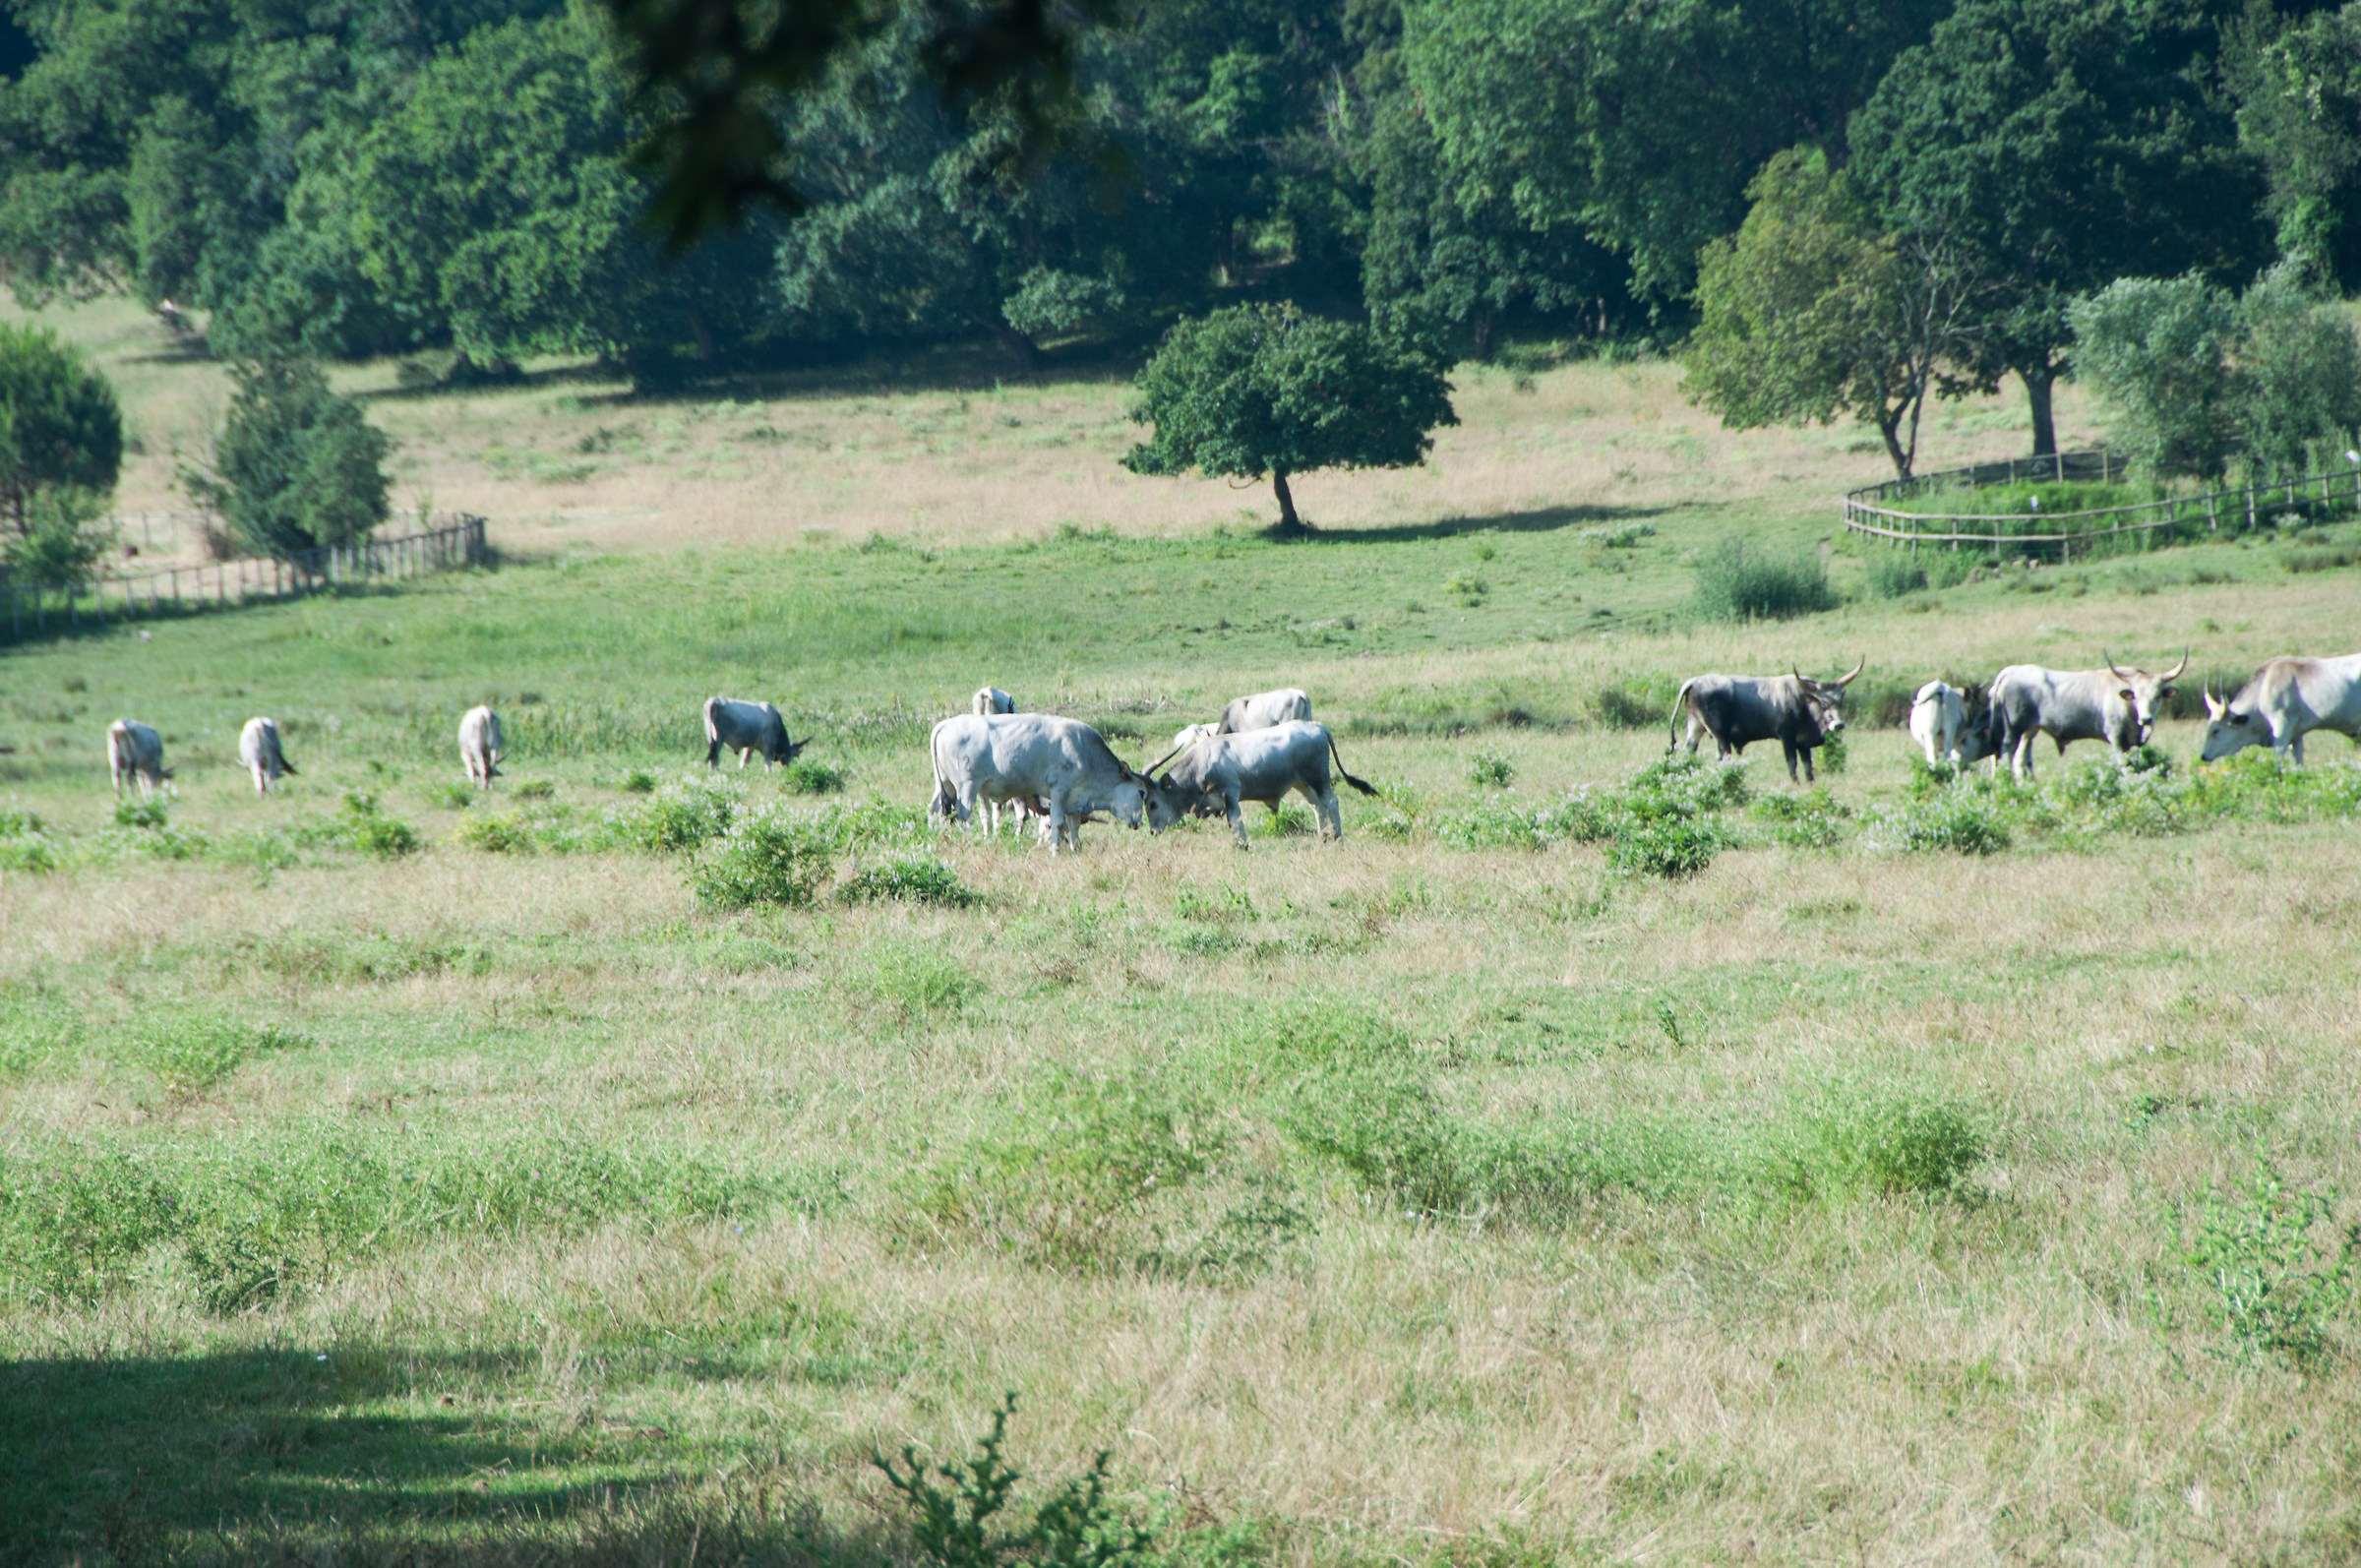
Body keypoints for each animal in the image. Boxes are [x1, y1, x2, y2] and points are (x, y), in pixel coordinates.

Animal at [928, 713, 1149, 852]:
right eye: (1142, 792)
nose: (1139, 822)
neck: (1084, 751)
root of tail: (945, 725)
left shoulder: (1074, 799)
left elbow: (1074, 825)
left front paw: (1075, 848)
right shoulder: (1059, 791)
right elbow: (1056, 821)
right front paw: (1055, 851)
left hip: (944, 784)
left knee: (934, 809)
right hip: (967, 786)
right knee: (962, 815)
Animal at [1142, 721, 1378, 848]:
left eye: (1153, 803)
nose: (1152, 832)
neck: (1201, 762)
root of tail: (1317, 726)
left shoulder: (1230, 795)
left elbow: (1235, 823)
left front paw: (1242, 846)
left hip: (1319, 779)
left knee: (1331, 802)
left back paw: (1337, 836)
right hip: (1303, 784)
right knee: (1317, 807)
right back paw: (1324, 836)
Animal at [1667, 661, 1862, 783]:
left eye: (1840, 701)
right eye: (1823, 703)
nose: (1839, 724)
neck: (1802, 699)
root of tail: (1695, 681)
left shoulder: (1802, 742)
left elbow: (1808, 766)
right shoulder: (1786, 737)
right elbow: (1792, 763)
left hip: (1695, 729)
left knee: (1689, 753)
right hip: (1720, 736)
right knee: (1723, 757)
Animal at [1987, 651, 2186, 780]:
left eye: (2157, 696)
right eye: (2135, 695)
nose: (2146, 719)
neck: (2130, 708)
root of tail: (2010, 672)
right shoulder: (2117, 738)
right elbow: (2124, 765)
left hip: (2029, 731)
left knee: (2021, 758)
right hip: (2012, 731)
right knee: (2005, 755)